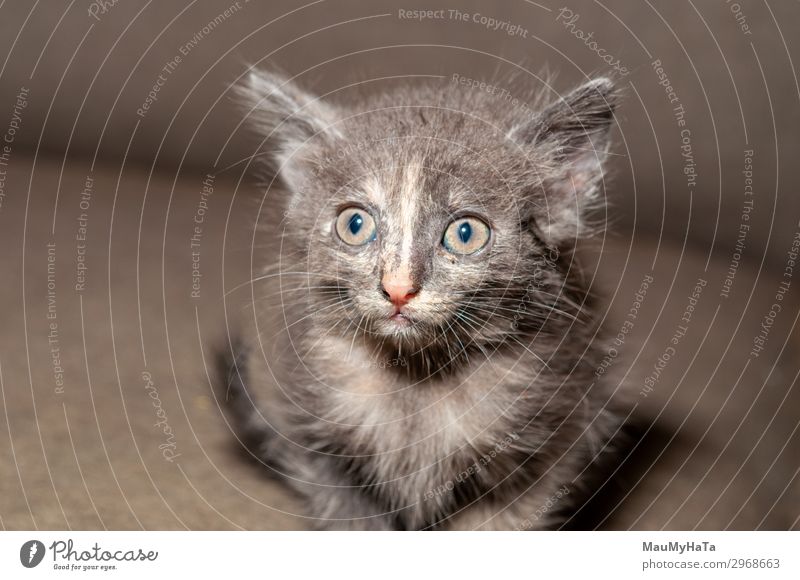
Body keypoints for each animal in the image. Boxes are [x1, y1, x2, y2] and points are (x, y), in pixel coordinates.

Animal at [225, 68, 620, 532]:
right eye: (354, 224)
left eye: (465, 233)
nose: (398, 287)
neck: (417, 374)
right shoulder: (320, 439)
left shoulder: (558, 433)